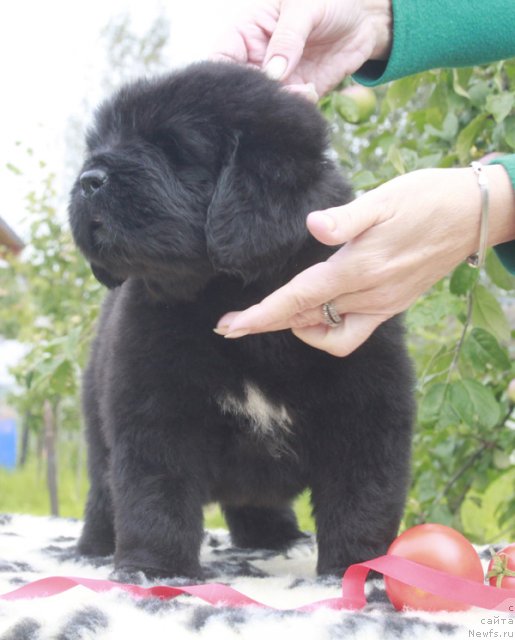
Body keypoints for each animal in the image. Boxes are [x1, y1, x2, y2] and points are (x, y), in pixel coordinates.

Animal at [69, 62, 416, 576]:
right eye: (99, 145)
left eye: (173, 148)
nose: (89, 179)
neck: (230, 292)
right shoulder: (153, 406)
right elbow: (154, 494)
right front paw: (155, 571)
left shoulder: (367, 404)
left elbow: (362, 498)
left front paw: (360, 569)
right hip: (96, 417)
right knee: (102, 485)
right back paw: (93, 547)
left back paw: (272, 537)